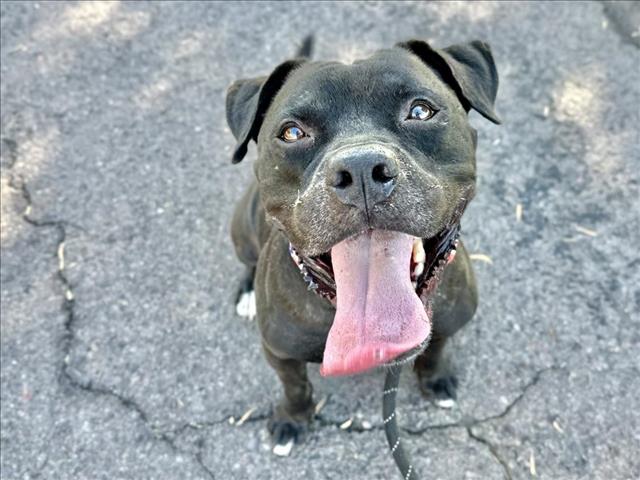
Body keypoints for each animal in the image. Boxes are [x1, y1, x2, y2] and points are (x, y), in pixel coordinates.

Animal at [225, 38, 500, 454]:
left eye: (420, 111)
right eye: (292, 132)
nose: (361, 169)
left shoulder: (448, 322)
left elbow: (437, 349)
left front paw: (436, 379)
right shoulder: (280, 351)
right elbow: (294, 385)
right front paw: (292, 418)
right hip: (241, 228)